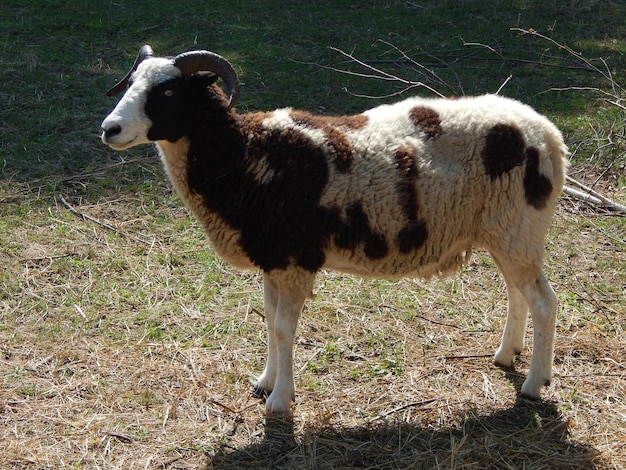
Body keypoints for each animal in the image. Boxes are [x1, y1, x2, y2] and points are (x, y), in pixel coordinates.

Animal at [101, 45, 564, 414]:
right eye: (129, 83)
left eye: (167, 92)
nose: (109, 129)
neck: (246, 156)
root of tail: (548, 134)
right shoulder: (273, 259)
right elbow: (269, 321)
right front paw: (265, 382)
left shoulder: (294, 259)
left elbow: (284, 328)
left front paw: (279, 402)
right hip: (506, 231)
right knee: (516, 292)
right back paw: (506, 354)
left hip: (519, 226)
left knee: (543, 302)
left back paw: (533, 384)